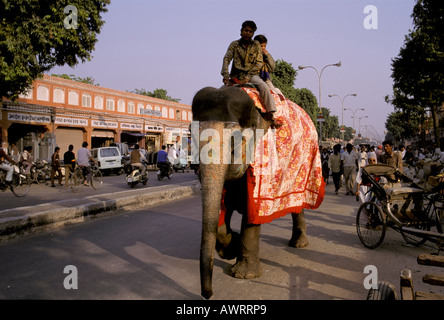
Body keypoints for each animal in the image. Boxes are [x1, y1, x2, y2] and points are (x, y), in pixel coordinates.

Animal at [193, 85, 318, 300]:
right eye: (191, 138)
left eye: (235, 142)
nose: (207, 295)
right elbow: (223, 209)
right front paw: (229, 250)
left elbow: (252, 211)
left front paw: (244, 275)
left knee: (298, 202)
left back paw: (299, 244)